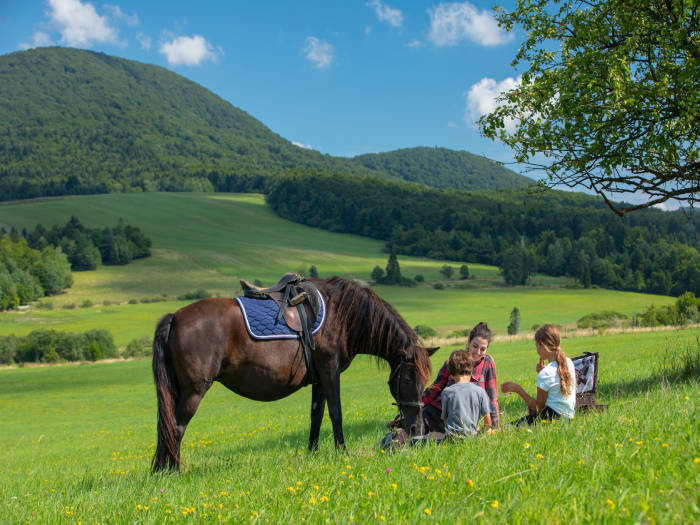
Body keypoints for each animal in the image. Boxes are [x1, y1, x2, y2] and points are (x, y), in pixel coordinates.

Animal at [153, 274, 438, 470]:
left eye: (425, 380)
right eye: (408, 378)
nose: (416, 429)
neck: (343, 314)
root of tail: (175, 317)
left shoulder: (319, 378)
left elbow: (316, 415)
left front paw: (313, 453)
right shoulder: (330, 371)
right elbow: (336, 413)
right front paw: (342, 452)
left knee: (164, 426)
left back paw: (159, 471)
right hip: (194, 391)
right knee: (176, 428)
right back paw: (174, 472)